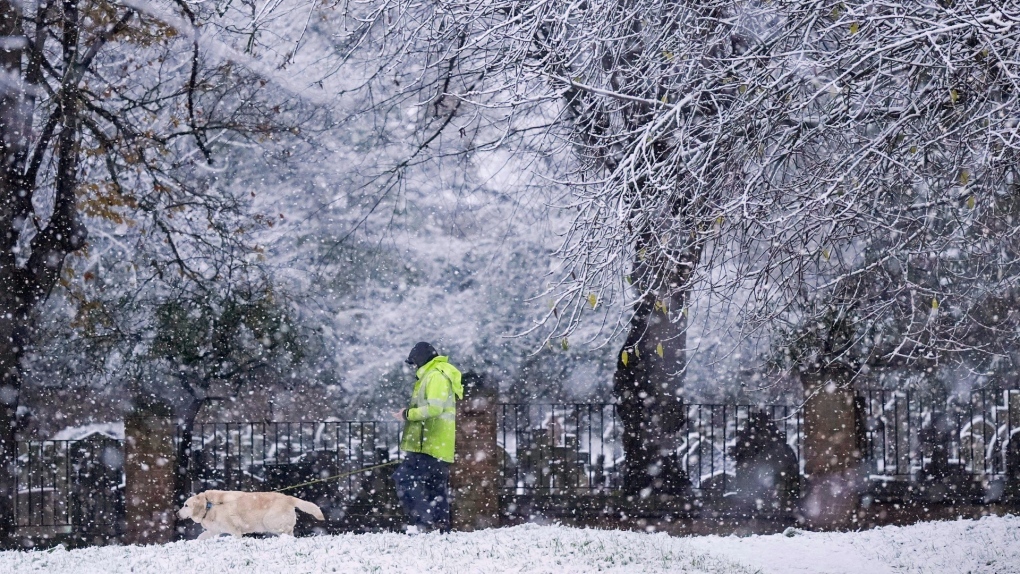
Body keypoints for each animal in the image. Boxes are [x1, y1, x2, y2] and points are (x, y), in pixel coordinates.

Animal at [177, 489, 324, 538]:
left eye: (186, 505)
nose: (177, 514)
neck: (209, 505)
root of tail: (289, 498)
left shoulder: (235, 530)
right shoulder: (214, 531)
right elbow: (200, 537)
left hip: (269, 522)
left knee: (287, 531)